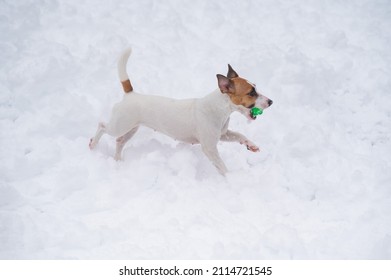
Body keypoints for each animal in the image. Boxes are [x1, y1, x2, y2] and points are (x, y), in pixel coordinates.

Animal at [89, 48, 274, 175]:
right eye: (251, 93)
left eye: (255, 88)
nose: (271, 102)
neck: (219, 108)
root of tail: (130, 94)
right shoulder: (209, 147)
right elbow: (221, 166)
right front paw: (231, 179)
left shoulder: (223, 134)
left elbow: (239, 135)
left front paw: (251, 145)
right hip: (120, 124)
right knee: (102, 126)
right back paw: (93, 144)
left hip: (131, 128)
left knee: (120, 141)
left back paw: (118, 160)